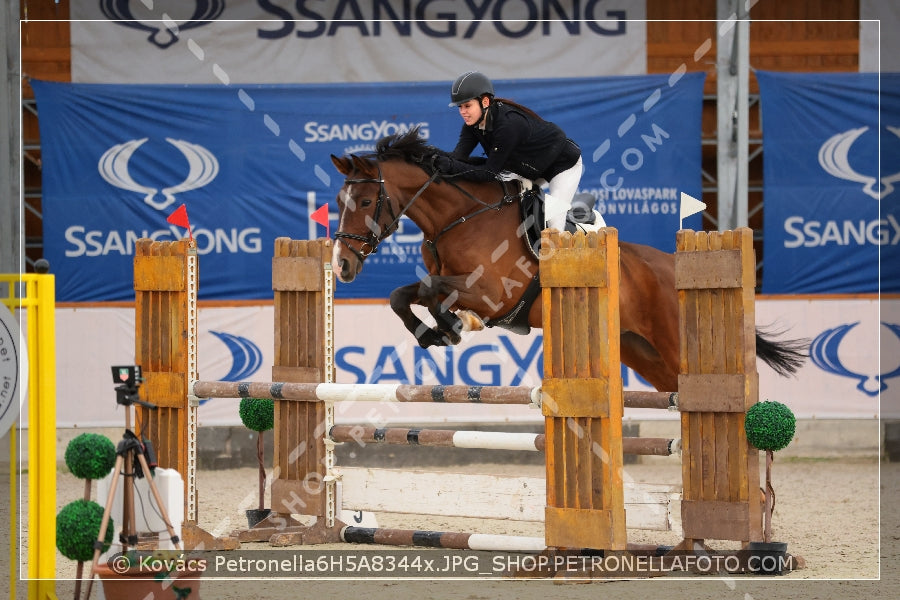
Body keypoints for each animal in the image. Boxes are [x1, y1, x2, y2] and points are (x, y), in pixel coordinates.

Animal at [326, 129, 804, 392]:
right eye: (338, 202)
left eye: (366, 200)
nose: (342, 267)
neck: (459, 217)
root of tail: (673, 267)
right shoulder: (451, 281)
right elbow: (403, 295)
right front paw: (433, 333)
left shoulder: (492, 293)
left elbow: (435, 293)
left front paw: (454, 326)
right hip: (640, 350)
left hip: (672, 341)